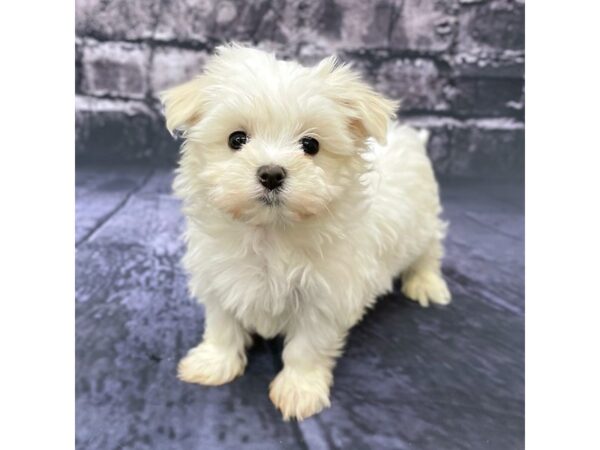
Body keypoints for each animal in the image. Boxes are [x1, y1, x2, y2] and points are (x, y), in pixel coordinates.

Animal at [159, 44, 450, 420]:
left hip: (423, 222)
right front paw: (213, 363)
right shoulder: (220, 279)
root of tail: (411, 138)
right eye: (236, 139)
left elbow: (306, 347)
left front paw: (299, 390)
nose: (271, 173)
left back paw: (425, 283)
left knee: (429, 251)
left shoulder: (326, 298)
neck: (271, 233)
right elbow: (222, 325)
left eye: (310, 145)